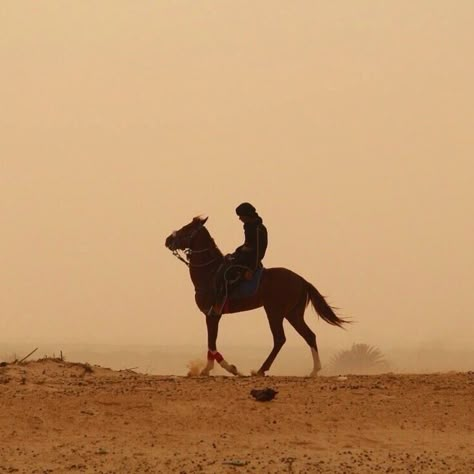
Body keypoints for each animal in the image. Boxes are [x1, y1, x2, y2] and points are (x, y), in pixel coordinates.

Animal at [166, 217, 348, 376]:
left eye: (186, 229)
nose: (168, 240)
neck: (210, 272)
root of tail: (302, 280)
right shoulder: (212, 315)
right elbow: (211, 343)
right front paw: (212, 369)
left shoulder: (212, 314)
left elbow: (211, 343)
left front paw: (227, 369)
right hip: (293, 314)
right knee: (309, 335)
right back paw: (314, 371)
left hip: (274, 312)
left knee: (280, 339)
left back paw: (261, 370)